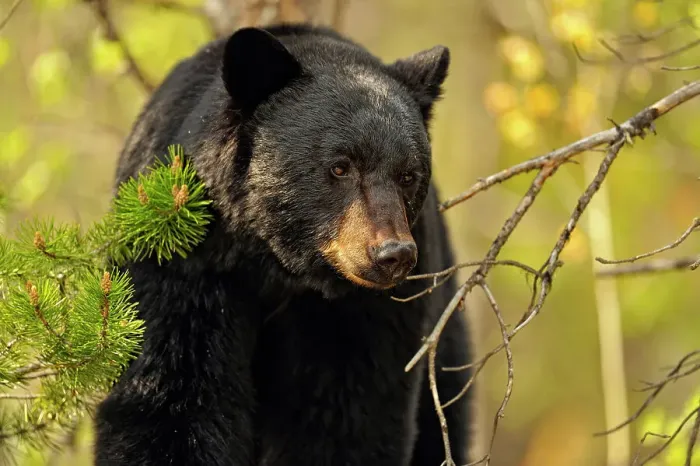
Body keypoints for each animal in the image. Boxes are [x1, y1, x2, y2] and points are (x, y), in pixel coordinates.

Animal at [94, 24, 473, 466]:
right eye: (340, 166)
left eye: (409, 175)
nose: (392, 254)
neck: (277, 264)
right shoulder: (183, 260)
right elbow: (171, 397)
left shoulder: (367, 311)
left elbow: (350, 417)